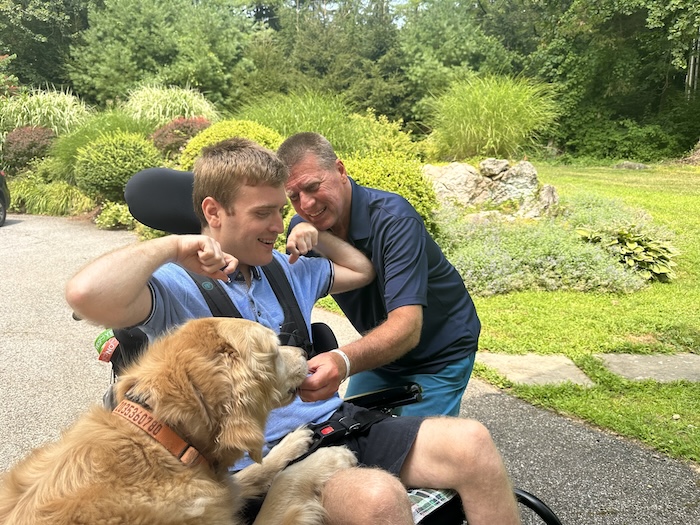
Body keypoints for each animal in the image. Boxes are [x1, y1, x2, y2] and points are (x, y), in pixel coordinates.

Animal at [0, 318, 358, 520]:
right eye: (272, 351)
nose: (305, 354)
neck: (164, 438)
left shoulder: (220, 485)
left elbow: (254, 473)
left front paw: (295, 442)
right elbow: (283, 482)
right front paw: (327, 458)